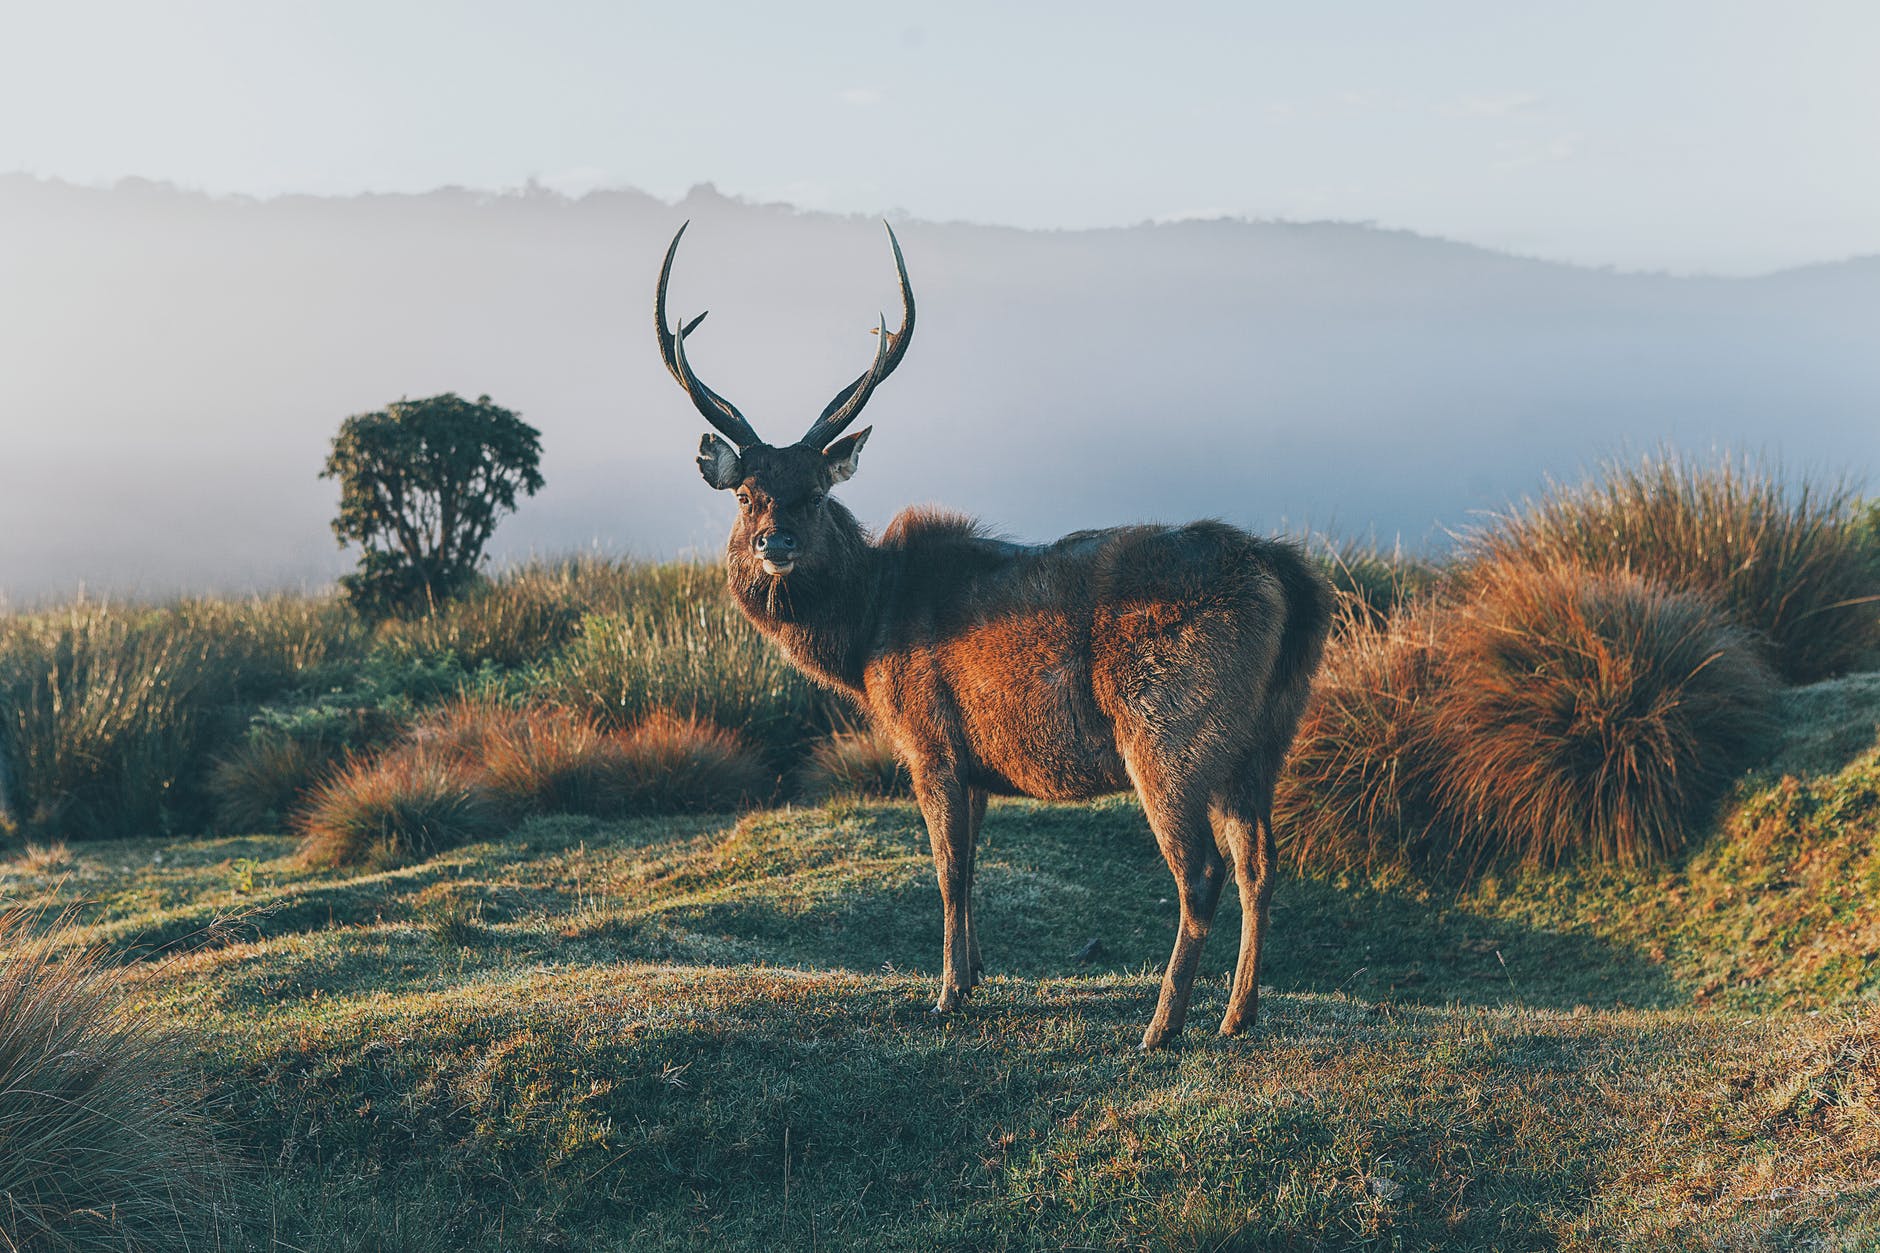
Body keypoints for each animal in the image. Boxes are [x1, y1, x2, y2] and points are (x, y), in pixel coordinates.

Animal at [654, 222, 1331, 1046]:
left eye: (814, 493)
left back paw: (1162, 1025)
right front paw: (976, 974)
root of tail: (1290, 579)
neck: (867, 637)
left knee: (1201, 871)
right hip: (1266, 736)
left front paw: (946, 992)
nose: (773, 543)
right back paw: (1239, 1013)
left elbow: (948, 870)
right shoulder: (978, 762)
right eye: (747, 493)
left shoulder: (929, 738)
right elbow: (973, 867)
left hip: (1170, 730)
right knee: (1260, 861)